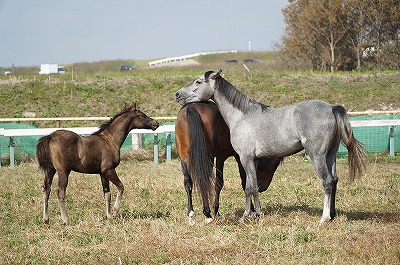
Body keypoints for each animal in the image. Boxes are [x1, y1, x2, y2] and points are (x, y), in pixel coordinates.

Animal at [177, 70, 368, 225]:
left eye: (198, 81)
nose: (178, 94)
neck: (242, 116)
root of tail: (332, 108)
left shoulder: (245, 158)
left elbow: (249, 187)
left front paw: (248, 215)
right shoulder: (252, 160)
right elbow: (252, 185)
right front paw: (255, 213)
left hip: (317, 156)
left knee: (327, 181)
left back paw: (324, 218)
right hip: (330, 155)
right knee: (334, 180)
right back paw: (333, 215)